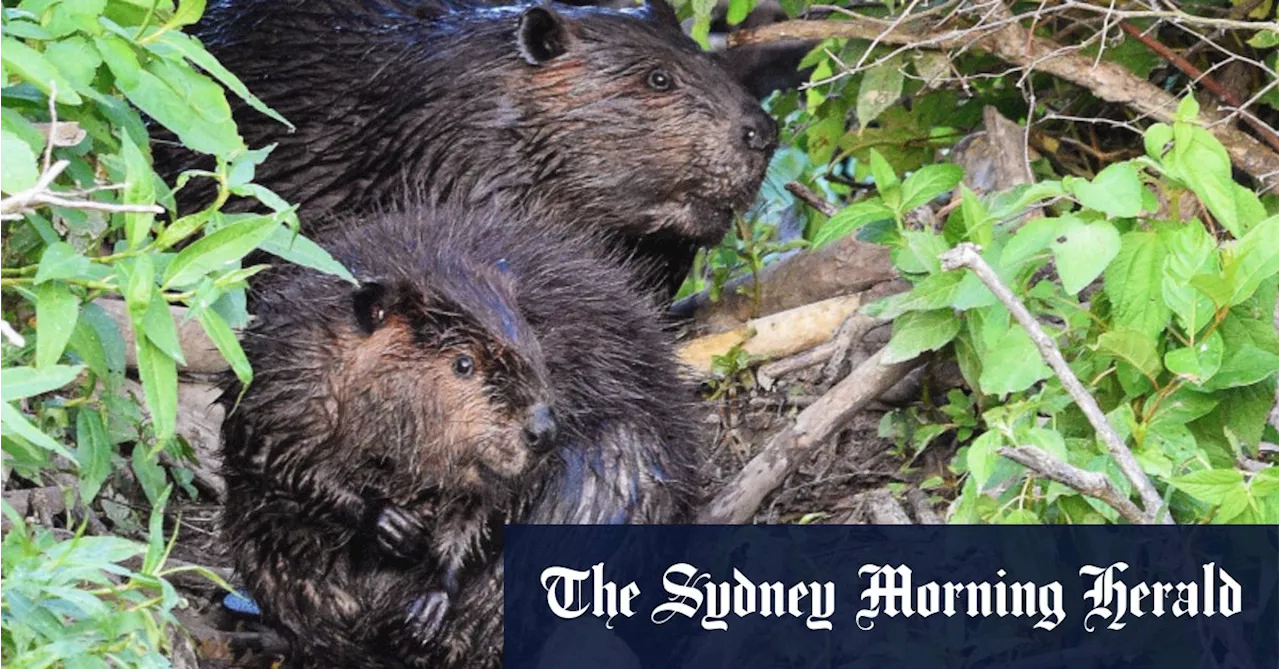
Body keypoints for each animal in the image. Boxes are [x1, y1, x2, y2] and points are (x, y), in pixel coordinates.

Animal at [222, 202, 701, 665]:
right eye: (463, 363)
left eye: (533, 345)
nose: (543, 430)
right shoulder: (288, 374)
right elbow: (271, 455)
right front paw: (392, 523)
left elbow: (491, 505)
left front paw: (431, 602)